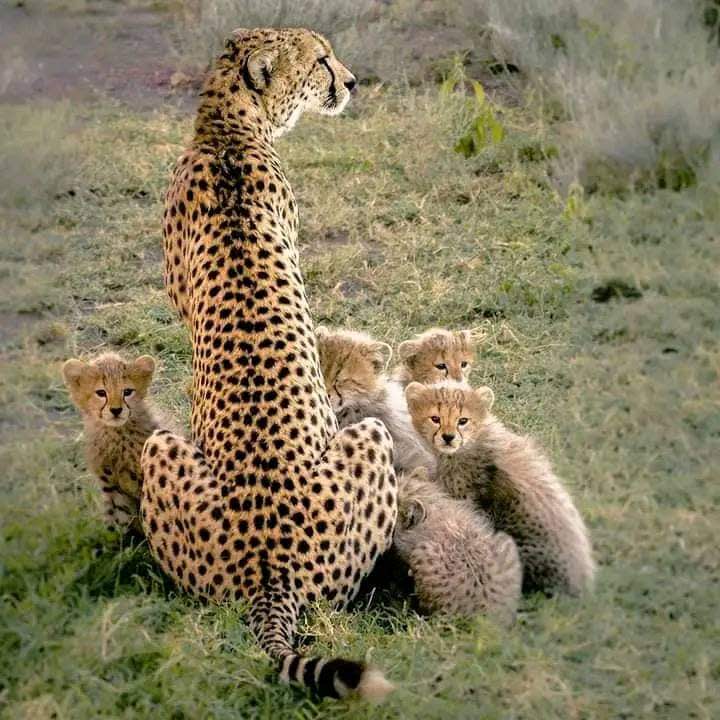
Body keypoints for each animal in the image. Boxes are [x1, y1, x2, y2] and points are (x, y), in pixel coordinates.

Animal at [62, 353, 160, 530]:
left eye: (127, 391)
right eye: (101, 392)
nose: (116, 410)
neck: (116, 435)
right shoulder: (110, 485)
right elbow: (119, 517)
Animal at [141, 28, 397, 700]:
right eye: (320, 60)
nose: (353, 81)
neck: (227, 128)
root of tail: (268, 567)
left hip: (163, 449)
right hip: (368, 435)